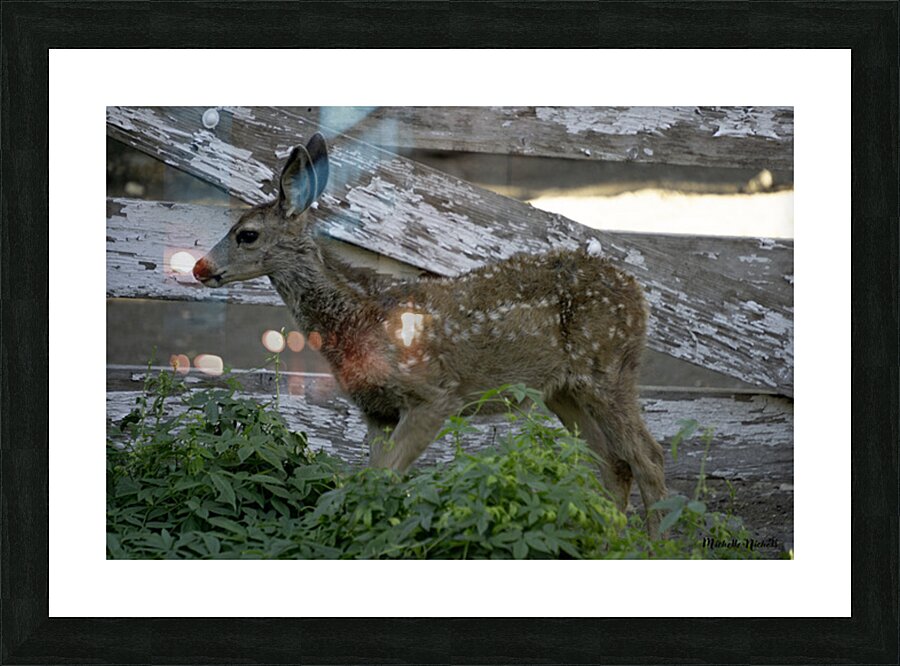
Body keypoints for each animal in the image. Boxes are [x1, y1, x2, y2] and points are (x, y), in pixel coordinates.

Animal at [193, 133, 668, 535]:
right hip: (564, 390)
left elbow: (385, 477)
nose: (199, 267)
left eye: (247, 234)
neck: (360, 315)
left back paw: (657, 544)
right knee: (614, 463)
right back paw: (610, 541)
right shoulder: (375, 410)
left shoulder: (435, 394)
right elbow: (371, 481)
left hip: (607, 369)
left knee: (649, 458)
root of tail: (639, 294)